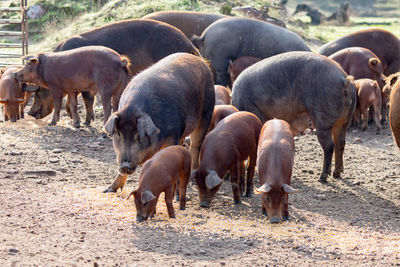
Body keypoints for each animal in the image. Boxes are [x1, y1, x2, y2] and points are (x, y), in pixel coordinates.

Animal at [103, 52, 216, 193]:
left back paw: (191, 177)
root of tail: (201, 61)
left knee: (196, 146)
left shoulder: (172, 137)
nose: (124, 165)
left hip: (206, 112)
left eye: (139, 136)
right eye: (118, 134)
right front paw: (108, 190)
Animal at [231, 51, 356, 183]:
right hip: (344, 121)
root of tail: (344, 80)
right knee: (340, 143)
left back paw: (322, 178)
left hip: (323, 119)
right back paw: (337, 174)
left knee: (329, 146)